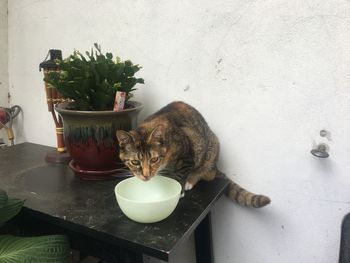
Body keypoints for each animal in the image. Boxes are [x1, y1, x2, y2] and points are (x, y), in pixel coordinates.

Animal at [116, 102, 270, 209]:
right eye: (135, 162)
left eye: (154, 159)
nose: (146, 175)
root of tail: (216, 167)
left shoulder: (188, 152)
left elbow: (181, 174)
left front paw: (179, 191)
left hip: (210, 150)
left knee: (206, 173)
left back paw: (191, 180)